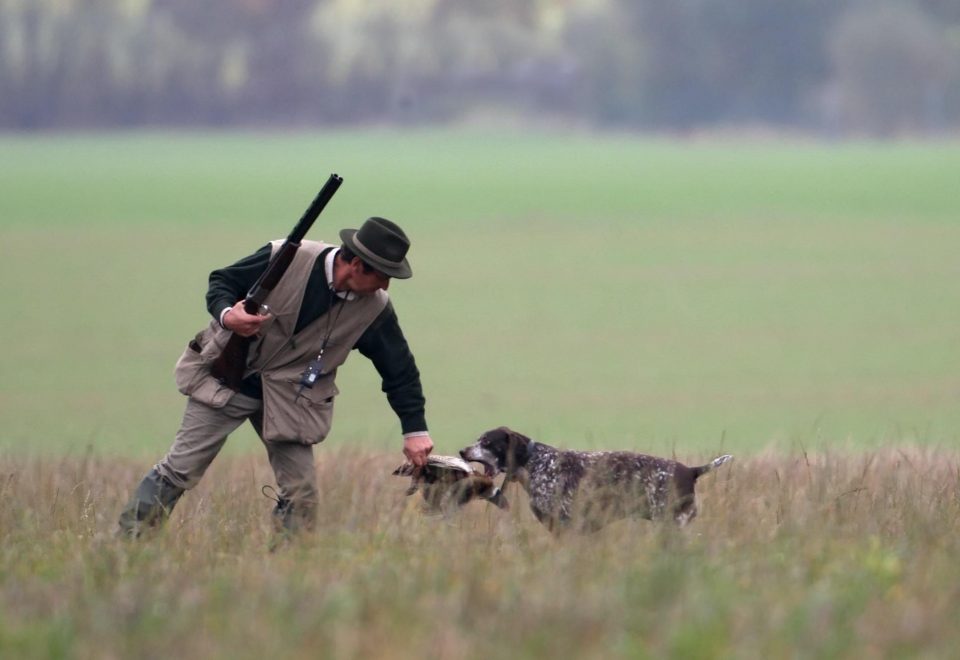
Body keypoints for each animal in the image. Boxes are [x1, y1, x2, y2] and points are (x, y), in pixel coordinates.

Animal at [462, 428, 732, 532]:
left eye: (487, 442)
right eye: (477, 439)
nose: (462, 451)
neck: (535, 462)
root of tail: (691, 471)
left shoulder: (566, 527)